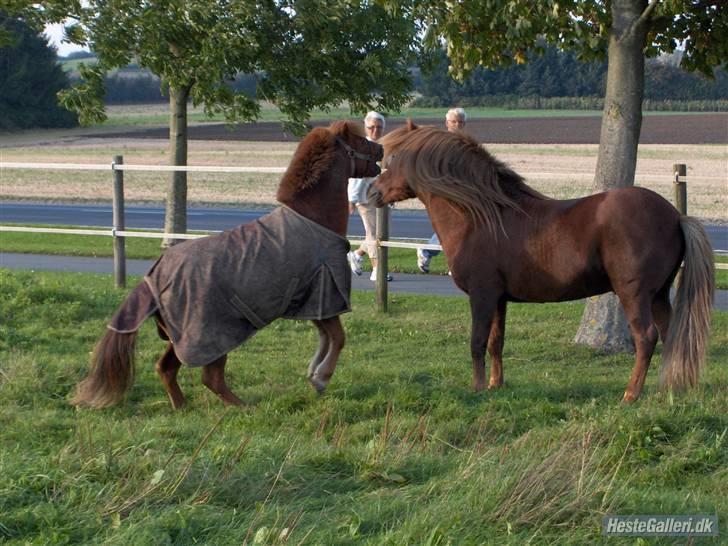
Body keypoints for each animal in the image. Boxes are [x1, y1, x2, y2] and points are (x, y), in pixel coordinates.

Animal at [71, 120, 384, 408]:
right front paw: (320, 378)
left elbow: (326, 339)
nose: (381, 149)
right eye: (360, 139)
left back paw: (182, 407)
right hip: (213, 338)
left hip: (180, 339)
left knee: (166, 368)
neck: (313, 219)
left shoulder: (313, 304)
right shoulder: (325, 297)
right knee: (210, 377)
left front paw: (313, 374)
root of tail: (153, 278)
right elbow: (338, 338)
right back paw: (242, 406)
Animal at [372, 121, 712, 400]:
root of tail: (676, 215)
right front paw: (495, 385)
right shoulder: (498, 298)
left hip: (635, 294)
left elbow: (477, 341)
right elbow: (496, 341)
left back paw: (631, 395)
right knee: (671, 335)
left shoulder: (482, 295)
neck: (482, 216)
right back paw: (668, 390)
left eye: (392, 160)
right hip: (658, 295)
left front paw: (477, 388)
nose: (372, 192)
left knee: (646, 338)